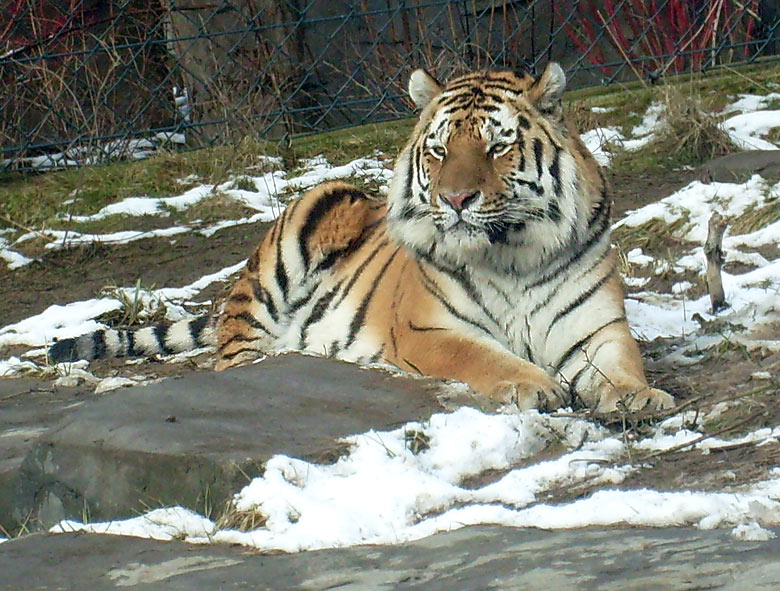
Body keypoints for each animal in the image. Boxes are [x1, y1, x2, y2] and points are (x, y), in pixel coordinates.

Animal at [48, 63, 672, 412]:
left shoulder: (599, 328)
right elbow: (482, 357)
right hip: (309, 215)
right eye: (439, 149)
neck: (512, 253)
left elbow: (621, 364)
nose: (456, 199)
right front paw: (533, 384)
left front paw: (639, 395)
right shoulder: (430, 329)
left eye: (497, 146)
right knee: (234, 356)